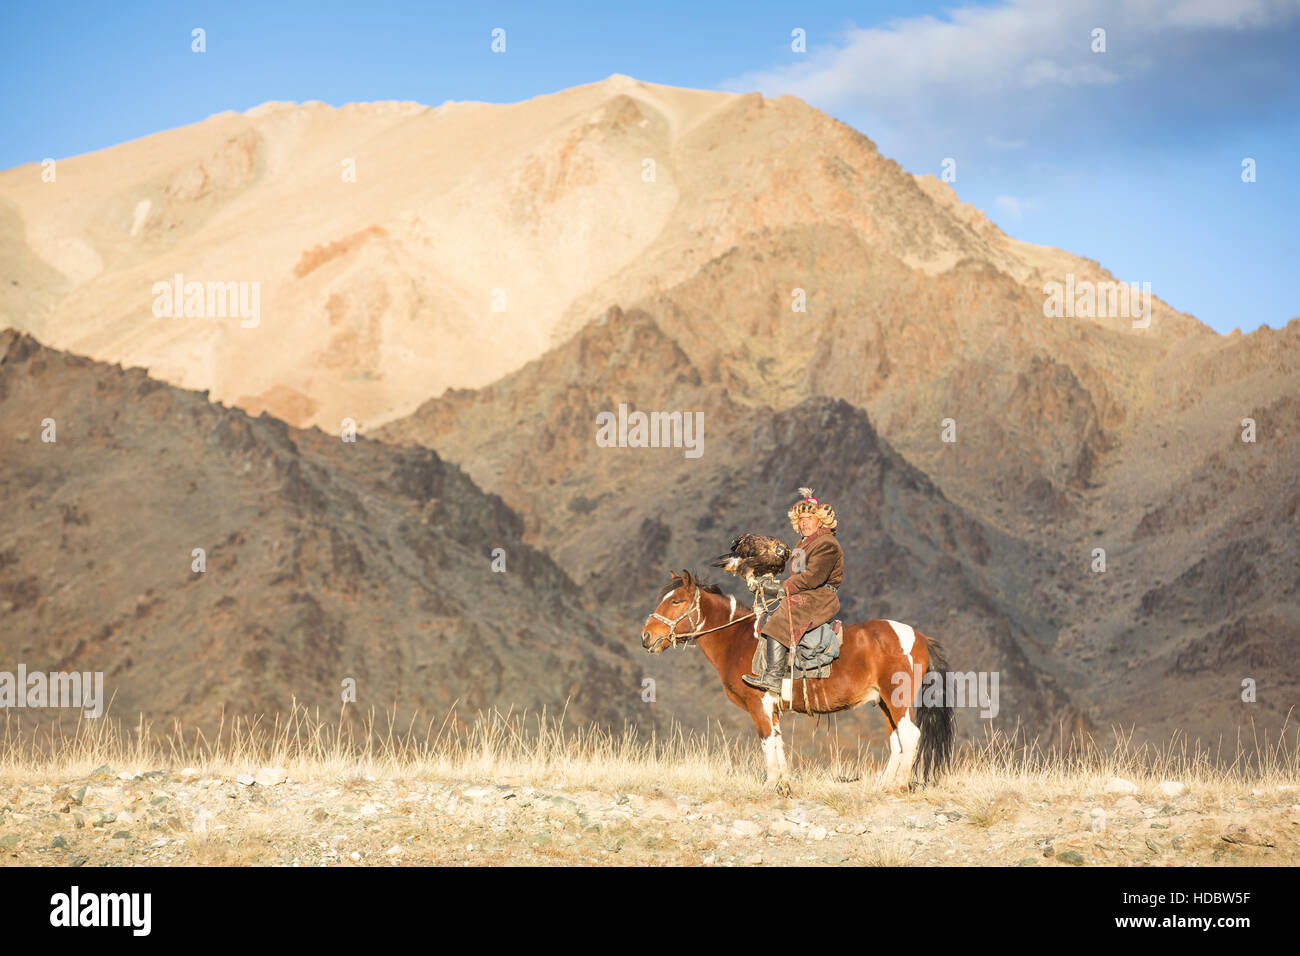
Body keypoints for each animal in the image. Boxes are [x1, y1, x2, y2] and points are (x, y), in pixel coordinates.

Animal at [642, 572, 956, 796]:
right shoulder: (772, 709)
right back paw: (885, 784)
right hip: (884, 703)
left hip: (898, 700)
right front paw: (784, 785)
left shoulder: (759, 705)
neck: (738, 640)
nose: (646, 636)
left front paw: (770, 785)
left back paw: (900, 785)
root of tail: (919, 637)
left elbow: (767, 742)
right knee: (897, 740)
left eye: (675, 601)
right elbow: (778, 742)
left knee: (911, 735)